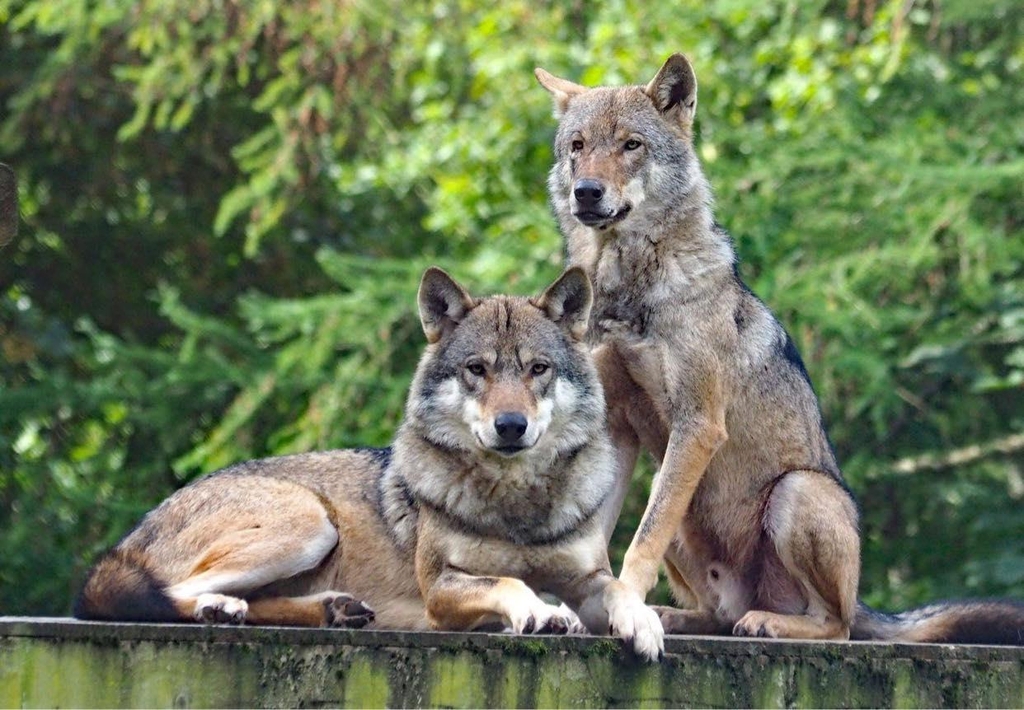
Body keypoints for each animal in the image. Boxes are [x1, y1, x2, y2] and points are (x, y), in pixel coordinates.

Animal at [74, 266, 663, 659]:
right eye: (477, 369)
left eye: (538, 369)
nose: (511, 426)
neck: (518, 502)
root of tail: (135, 532)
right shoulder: (441, 590)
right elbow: (508, 583)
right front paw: (542, 611)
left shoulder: (586, 577)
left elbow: (618, 588)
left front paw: (644, 623)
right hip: (309, 521)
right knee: (153, 594)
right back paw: (219, 608)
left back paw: (331, 609)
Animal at [536, 54, 1024, 643]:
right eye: (578, 146)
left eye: (632, 145)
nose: (586, 191)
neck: (631, 287)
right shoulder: (617, 429)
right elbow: (598, 540)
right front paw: (592, 609)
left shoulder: (699, 424)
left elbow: (642, 539)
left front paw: (626, 605)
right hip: (673, 489)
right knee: (718, 615)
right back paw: (681, 616)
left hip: (796, 492)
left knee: (836, 626)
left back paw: (768, 621)